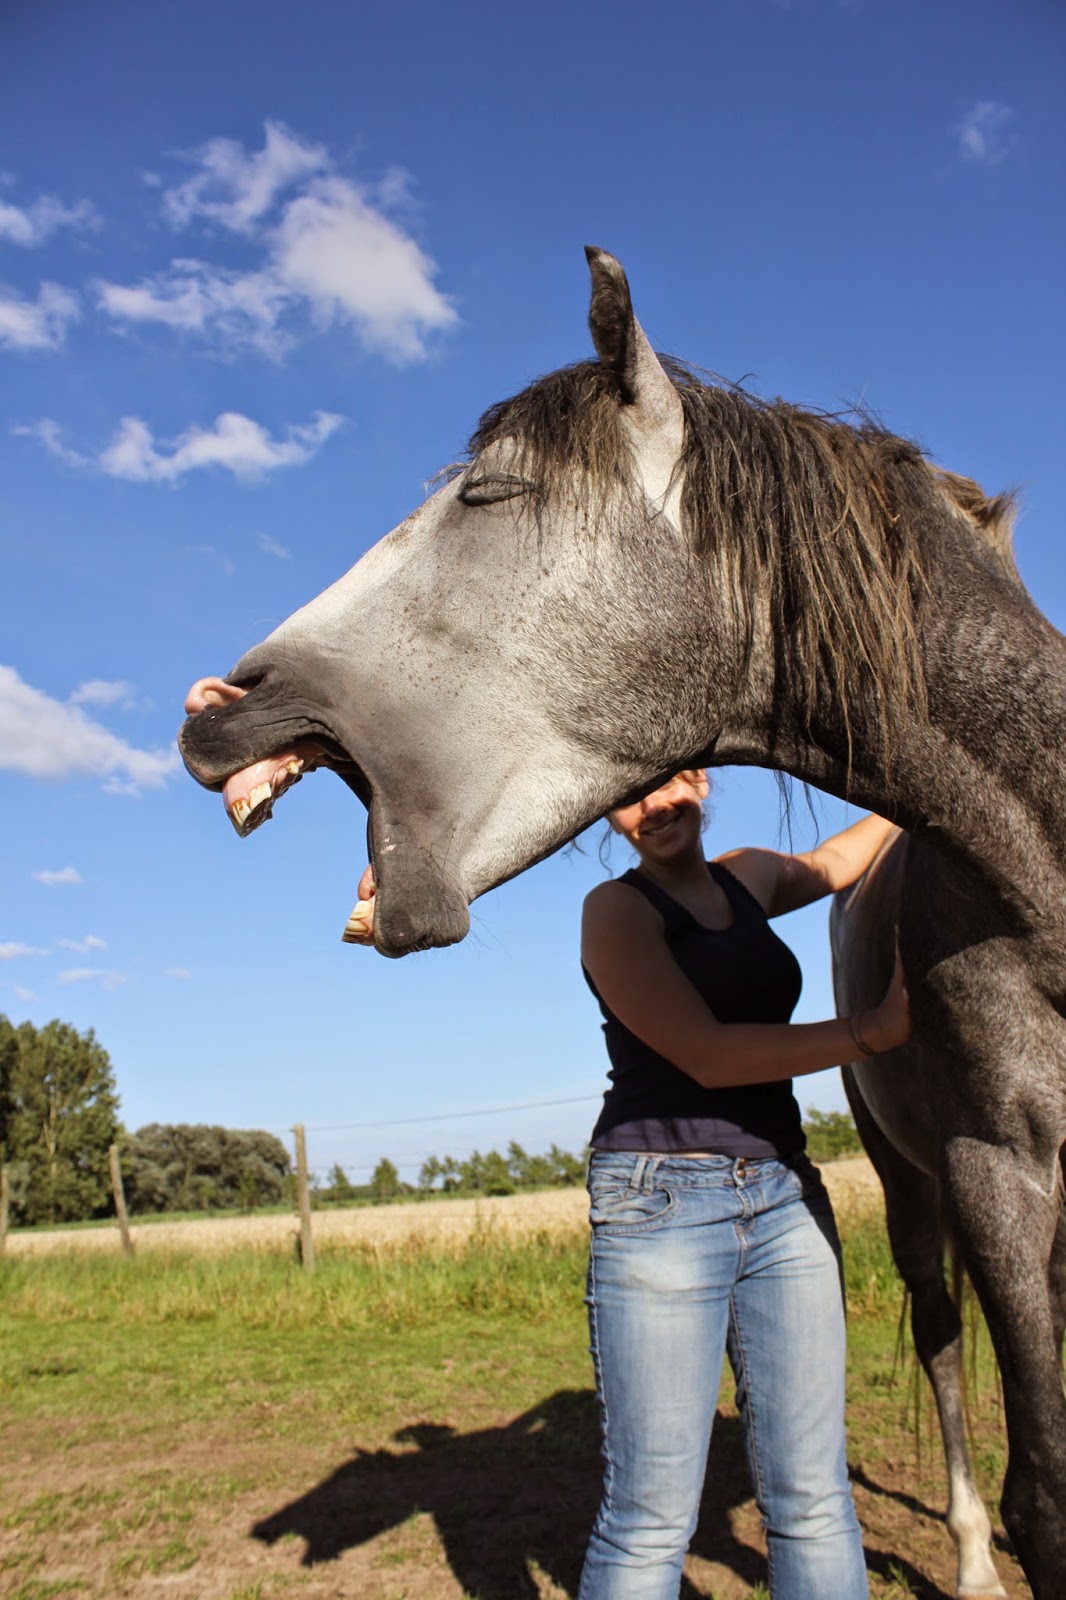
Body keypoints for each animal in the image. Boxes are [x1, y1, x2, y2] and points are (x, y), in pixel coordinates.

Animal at [178, 249, 1056, 1600]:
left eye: (489, 491)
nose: (214, 706)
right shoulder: (997, 1167)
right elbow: (1041, 1489)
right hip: (916, 1183)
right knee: (942, 1340)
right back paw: (964, 1555)